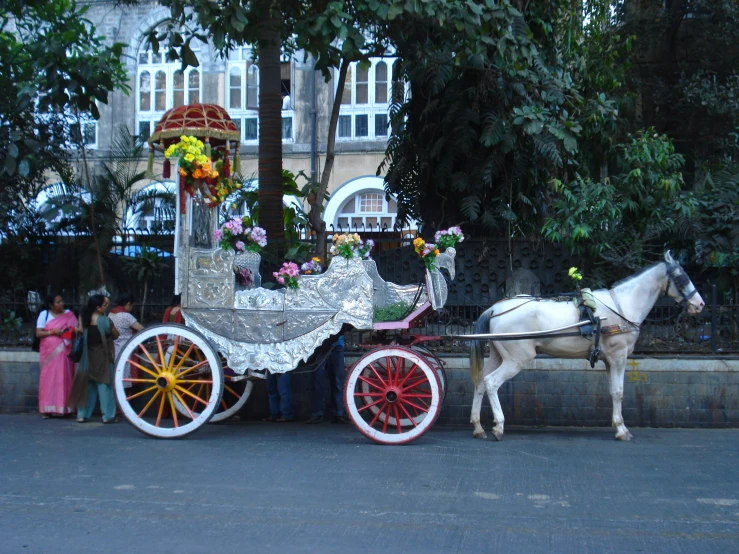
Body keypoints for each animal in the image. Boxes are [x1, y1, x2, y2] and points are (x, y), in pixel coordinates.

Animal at [472, 251, 708, 440]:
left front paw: (617, 424)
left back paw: (477, 426)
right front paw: (621, 429)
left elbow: (613, 390)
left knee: (481, 382)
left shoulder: (609, 360)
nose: (699, 304)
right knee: (492, 382)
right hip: (516, 359)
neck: (621, 306)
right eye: (682, 277)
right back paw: (499, 426)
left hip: (498, 355)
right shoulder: (619, 357)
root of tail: (496, 309)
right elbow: (619, 392)